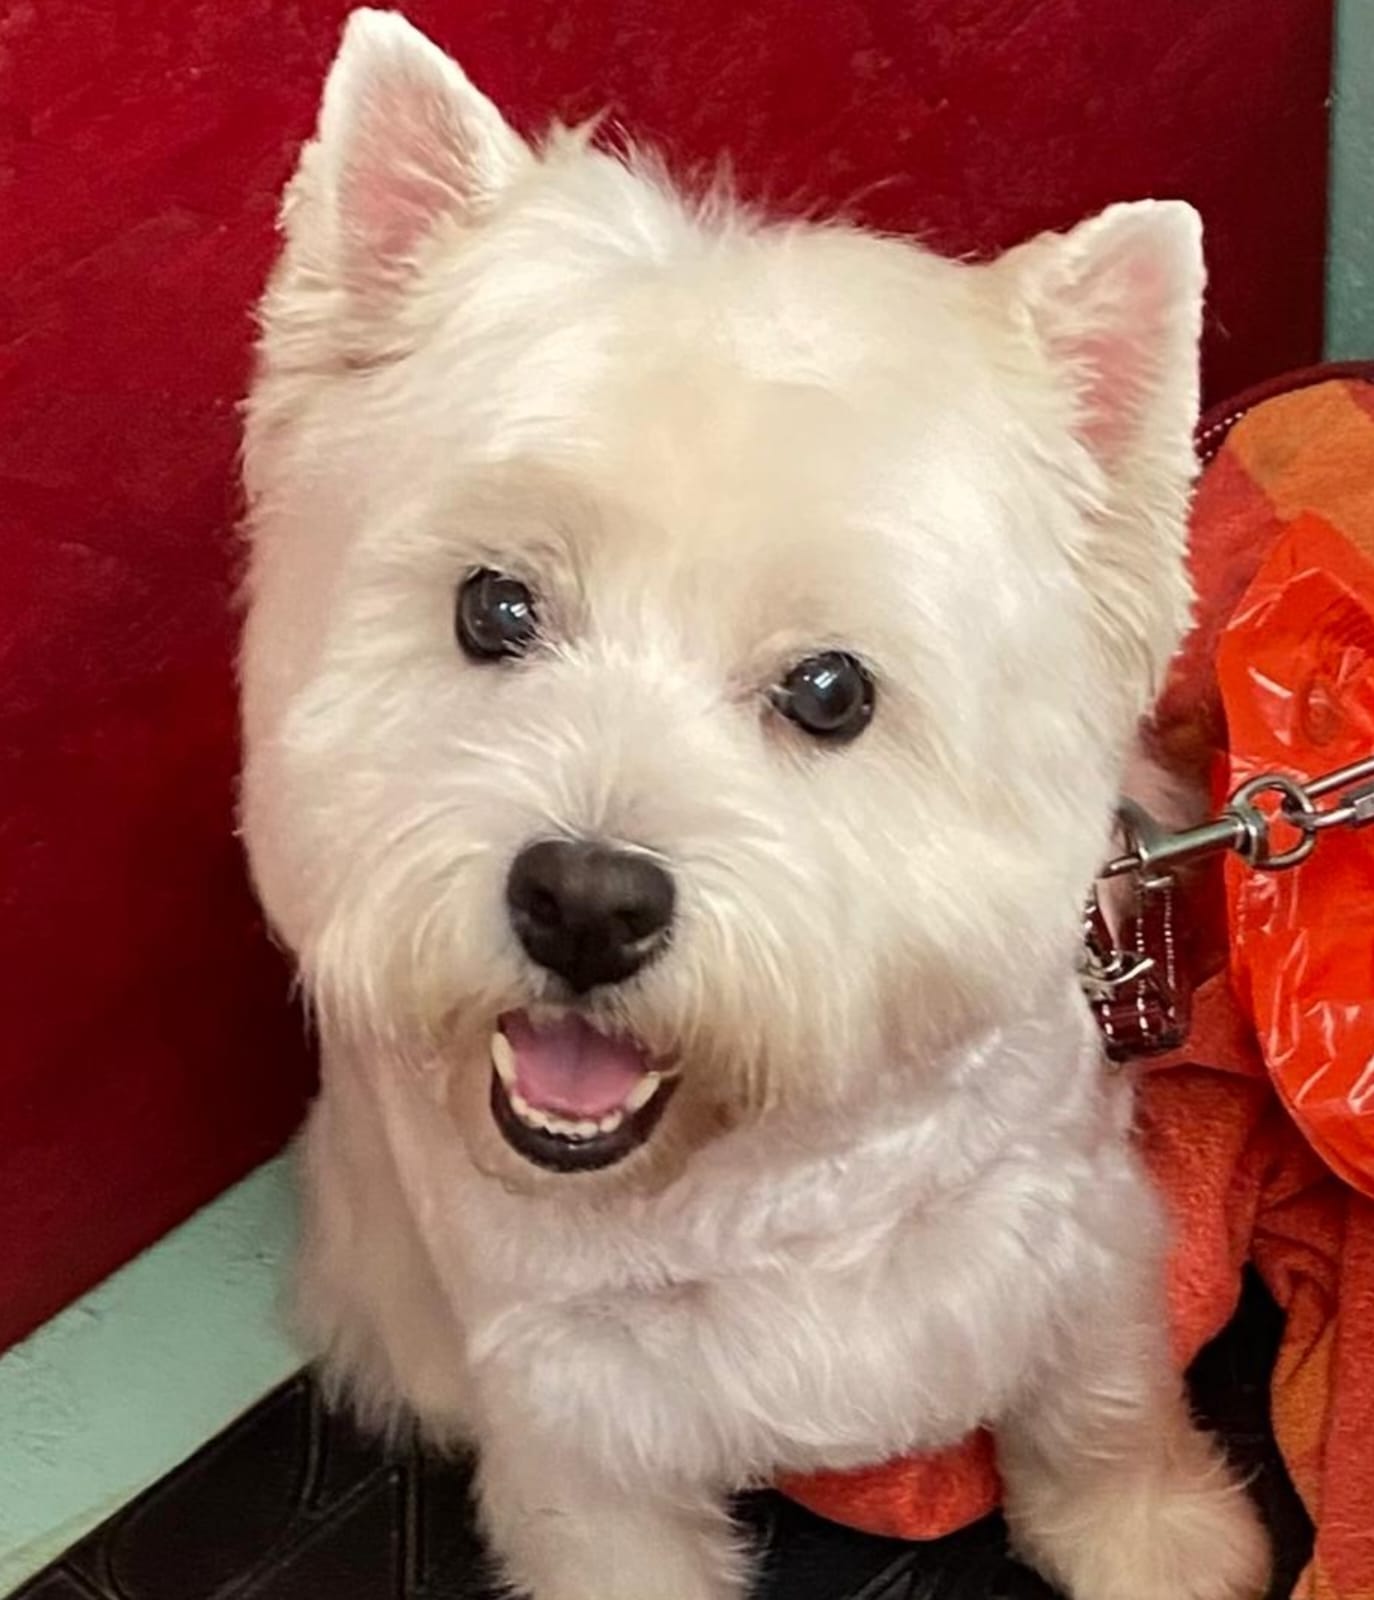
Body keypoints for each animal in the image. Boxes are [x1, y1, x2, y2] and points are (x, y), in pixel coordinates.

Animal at [238, 12, 1270, 1598]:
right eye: (494, 606)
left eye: (830, 691)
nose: (583, 901)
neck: (762, 1179)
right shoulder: (577, 1428)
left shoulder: (1075, 1238)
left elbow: (1101, 1407)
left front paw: (1159, 1543)